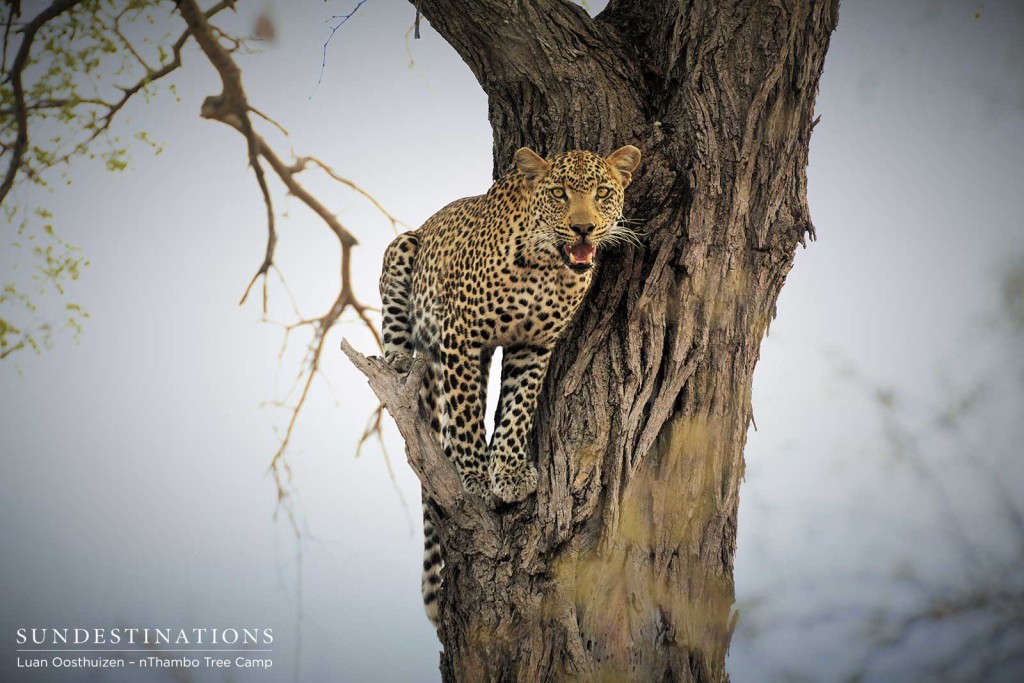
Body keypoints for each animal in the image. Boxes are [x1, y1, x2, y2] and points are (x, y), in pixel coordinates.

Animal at [380, 144, 638, 626]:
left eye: (602, 193)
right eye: (558, 193)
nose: (583, 227)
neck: (546, 266)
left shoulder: (534, 345)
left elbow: (518, 407)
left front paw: (510, 472)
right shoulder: (461, 335)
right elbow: (465, 414)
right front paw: (476, 478)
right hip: (403, 251)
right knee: (402, 345)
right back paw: (400, 363)